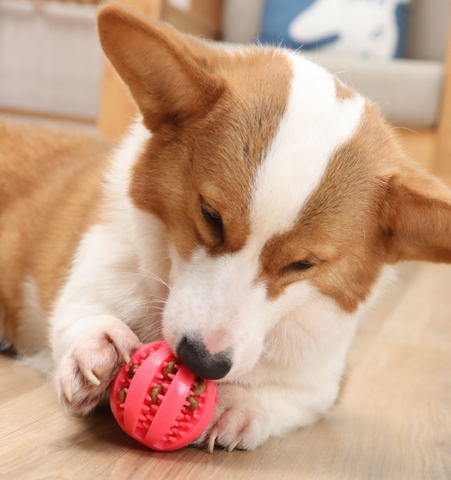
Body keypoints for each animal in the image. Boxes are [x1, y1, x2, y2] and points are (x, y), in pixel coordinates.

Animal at [0, 4, 451, 454]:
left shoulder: (321, 384)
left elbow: (283, 399)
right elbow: (80, 314)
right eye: (210, 216)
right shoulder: (90, 280)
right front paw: (98, 347)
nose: (202, 362)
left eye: (303, 264)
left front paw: (239, 405)